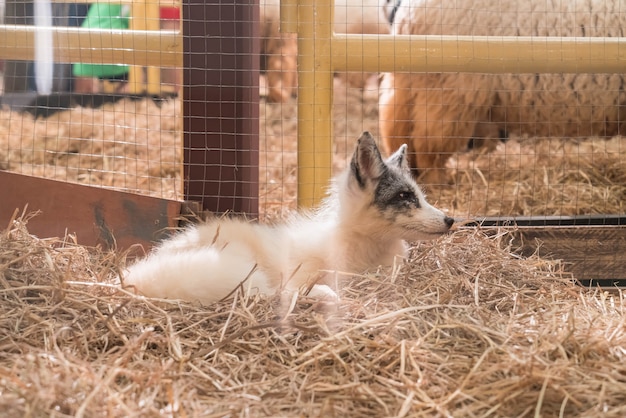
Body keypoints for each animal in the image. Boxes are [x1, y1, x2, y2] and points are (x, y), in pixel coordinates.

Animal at [378, 0, 624, 183]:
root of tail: (407, 15)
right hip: (450, 94)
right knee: (428, 146)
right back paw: (437, 183)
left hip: (413, 87)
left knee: (398, 128)